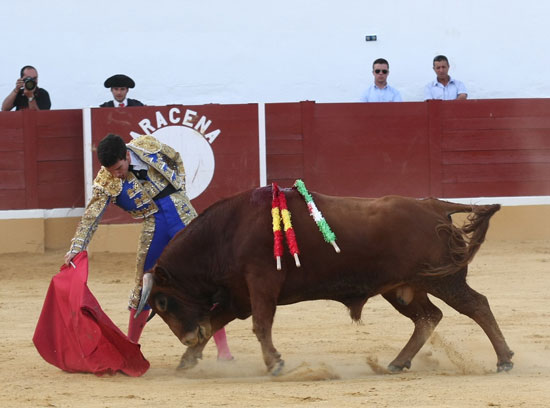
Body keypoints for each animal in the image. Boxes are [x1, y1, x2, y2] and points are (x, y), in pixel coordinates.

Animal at [136, 186, 516, 374]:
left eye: (163, 301)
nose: (188, 337)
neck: (226, 232)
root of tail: (433, 206)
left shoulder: (260, 284)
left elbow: (261, 324)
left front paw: (275, 364)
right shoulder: (238, 294)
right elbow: (219, 321)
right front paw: (188, 360)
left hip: (445, 280)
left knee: (476, 305)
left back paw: (504, 359)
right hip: (402, 288)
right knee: (428, 317)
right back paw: (397, 362)